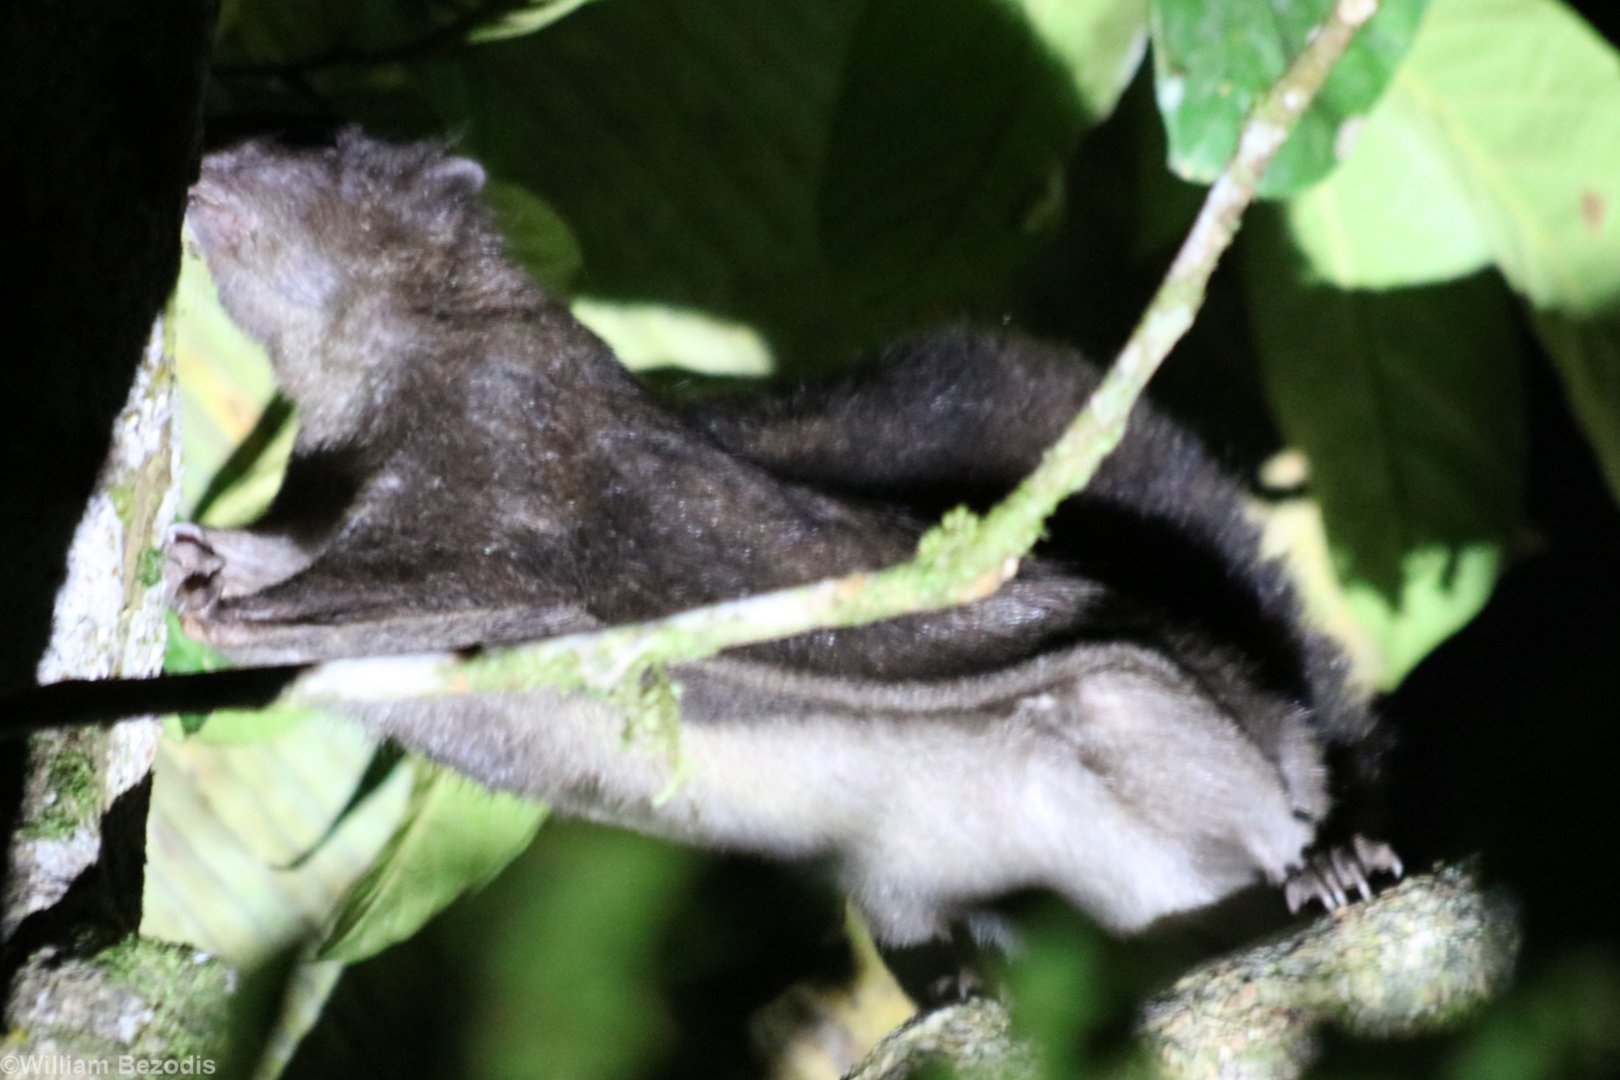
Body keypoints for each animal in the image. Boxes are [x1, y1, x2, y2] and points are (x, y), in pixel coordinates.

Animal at [169, 128, 1398, 946]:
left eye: (332, 155)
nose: (209, 156)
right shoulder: (321, 488)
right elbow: (288, 551)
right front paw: (199, 556)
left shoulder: (507, 454)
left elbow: (429, 584)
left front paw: (225, 615)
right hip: (910, 893)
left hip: (1128, 698)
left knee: (1261, 795)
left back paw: (1327, 861)